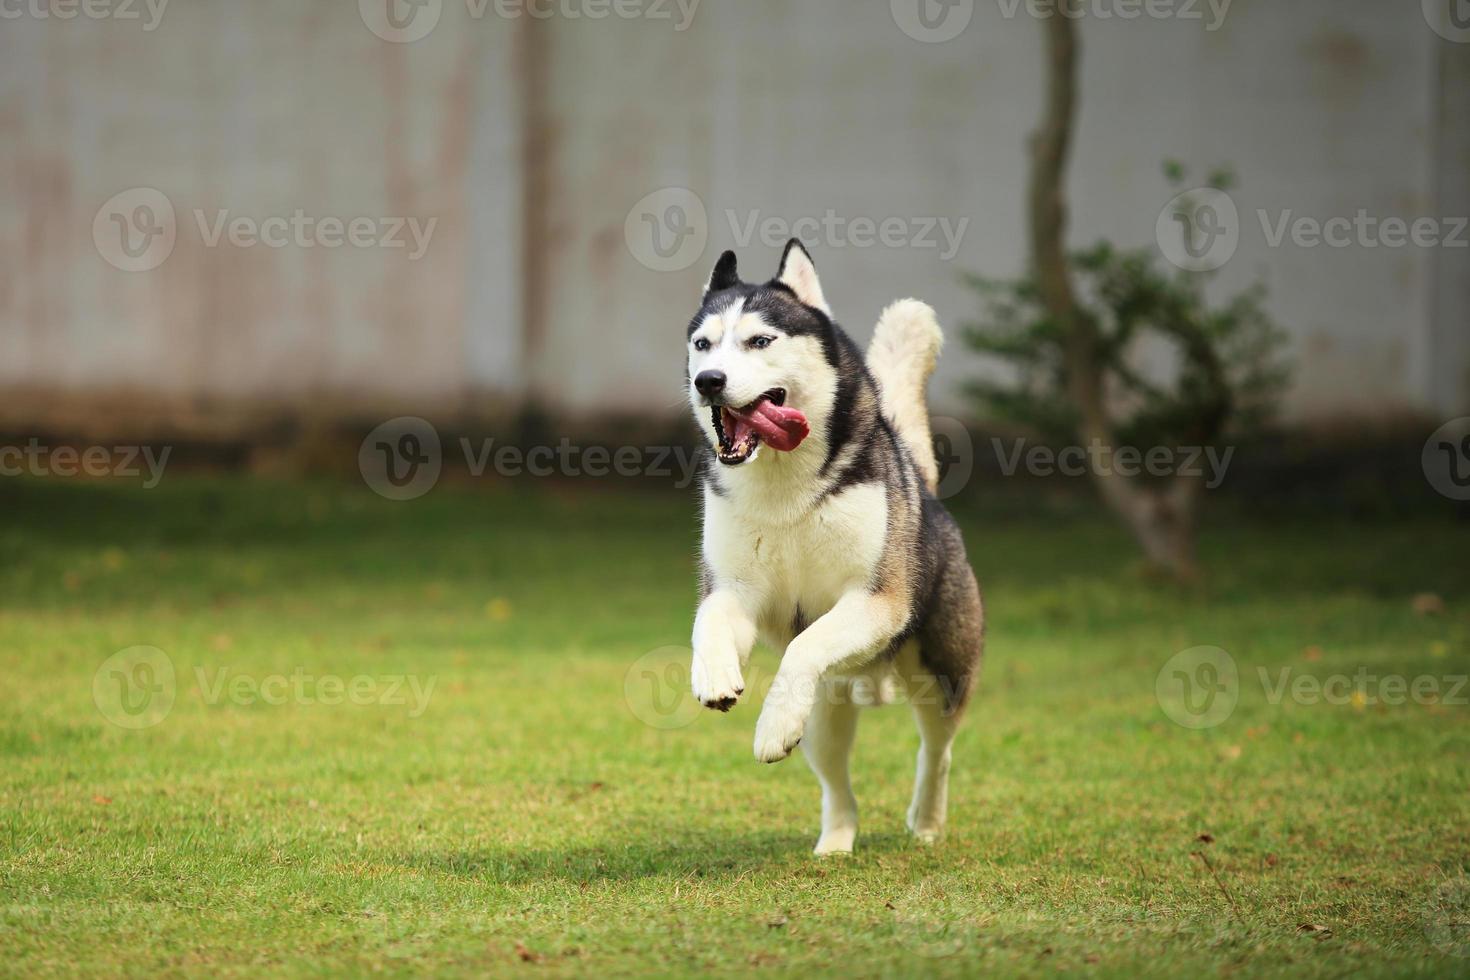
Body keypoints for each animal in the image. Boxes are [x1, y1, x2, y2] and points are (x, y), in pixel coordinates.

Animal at [682, 239, 981, 858]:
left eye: (760, 341)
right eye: (703, 345)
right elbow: (710, 620)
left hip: (941, 672)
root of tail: (922, 483)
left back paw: (927, 822)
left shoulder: (875, 601)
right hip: (826, 710)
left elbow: (805, 645)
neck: (784, 488)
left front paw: (770, 726)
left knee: (936, 749)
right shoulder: (737, 591)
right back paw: (836, 841)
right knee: (835, 777)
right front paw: (714, 676)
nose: (709, 381)